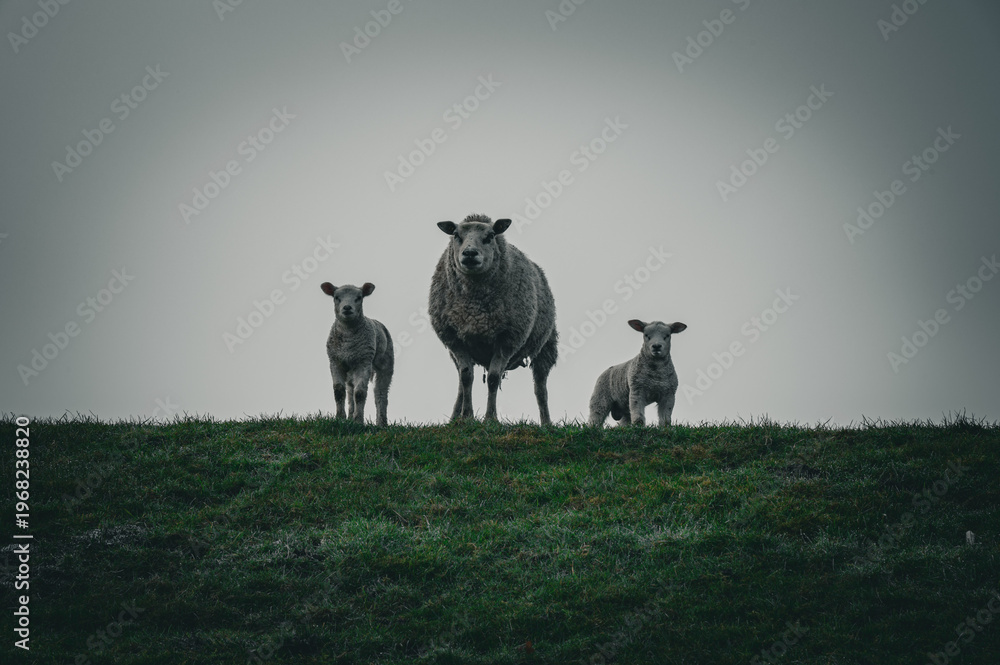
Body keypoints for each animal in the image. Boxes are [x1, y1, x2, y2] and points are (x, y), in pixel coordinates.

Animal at [320, 281, 394, 425]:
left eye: (359, 297)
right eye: (336, 297)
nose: (347, 308)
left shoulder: (363, 362)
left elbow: (360, 393)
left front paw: (358, 420)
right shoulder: (335, 361)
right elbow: (339, 391)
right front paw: (340, 418)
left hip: (386, 363)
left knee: (380, 393)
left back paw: (381, 423)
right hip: (350, 370)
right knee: (350, 392)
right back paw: (350, 416)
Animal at [429, 213, 559, 424]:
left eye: (490, 236)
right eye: (456, 235)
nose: (470, 253)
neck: (474, 306)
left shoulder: (508, 338)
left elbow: (493, 378)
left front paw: (490, 418)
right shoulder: (454, 339)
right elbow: (466, 377)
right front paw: (467, 416)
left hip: (546, 346)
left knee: (541, 388)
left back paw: (546, 423)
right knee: (461, 381)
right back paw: (454, 419)